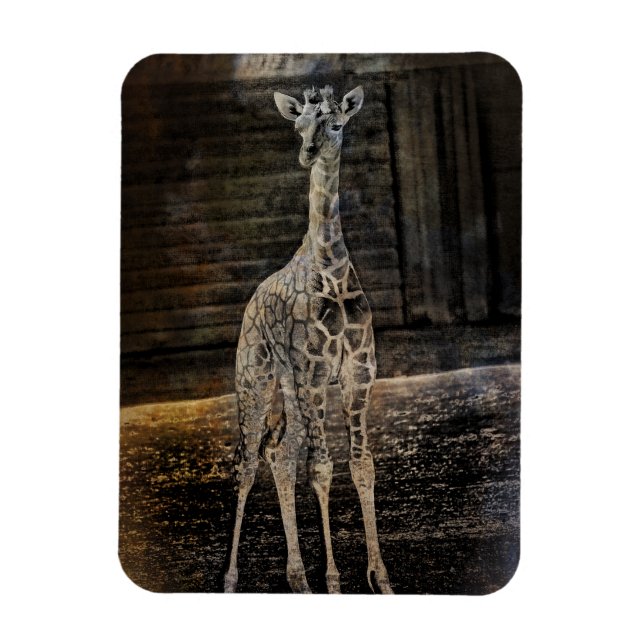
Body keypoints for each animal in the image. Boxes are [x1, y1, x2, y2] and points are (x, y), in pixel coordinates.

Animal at [223, 85, 392, 594]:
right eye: (298, 126)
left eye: (336, 124)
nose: (307, 153)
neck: (332, 268)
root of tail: (252, 303)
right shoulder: (316, 375)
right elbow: (320, 468)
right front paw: (334, 578)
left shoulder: (358, 373)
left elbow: (361, 464)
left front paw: (380, 577)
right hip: (256, 375)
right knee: (246, 461)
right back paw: (231, 578)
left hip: (290, 383)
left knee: (280, 451)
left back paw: (297, 577)